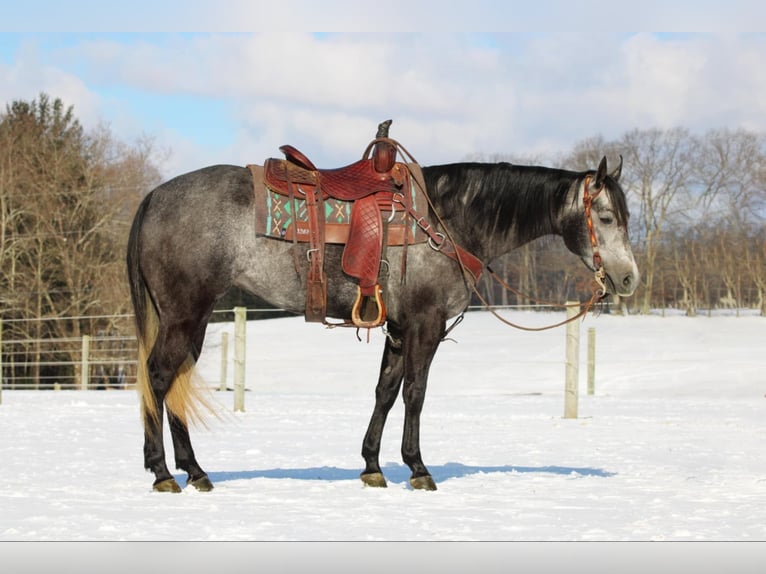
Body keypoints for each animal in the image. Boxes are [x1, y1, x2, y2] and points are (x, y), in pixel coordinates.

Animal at [127, 141, 640, 496]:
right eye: (607, 218)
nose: (629, 278)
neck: (449, 221)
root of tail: (153, 196)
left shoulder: (398, 328)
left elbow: (386, 392)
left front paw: (372, 466)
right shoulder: (426, 324)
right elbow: (415, 393)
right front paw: (418, 467)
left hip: (192, 320)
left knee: (174, 382)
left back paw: (194, 471)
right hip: (183, 314)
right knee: (159, 377)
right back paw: (163, 473)